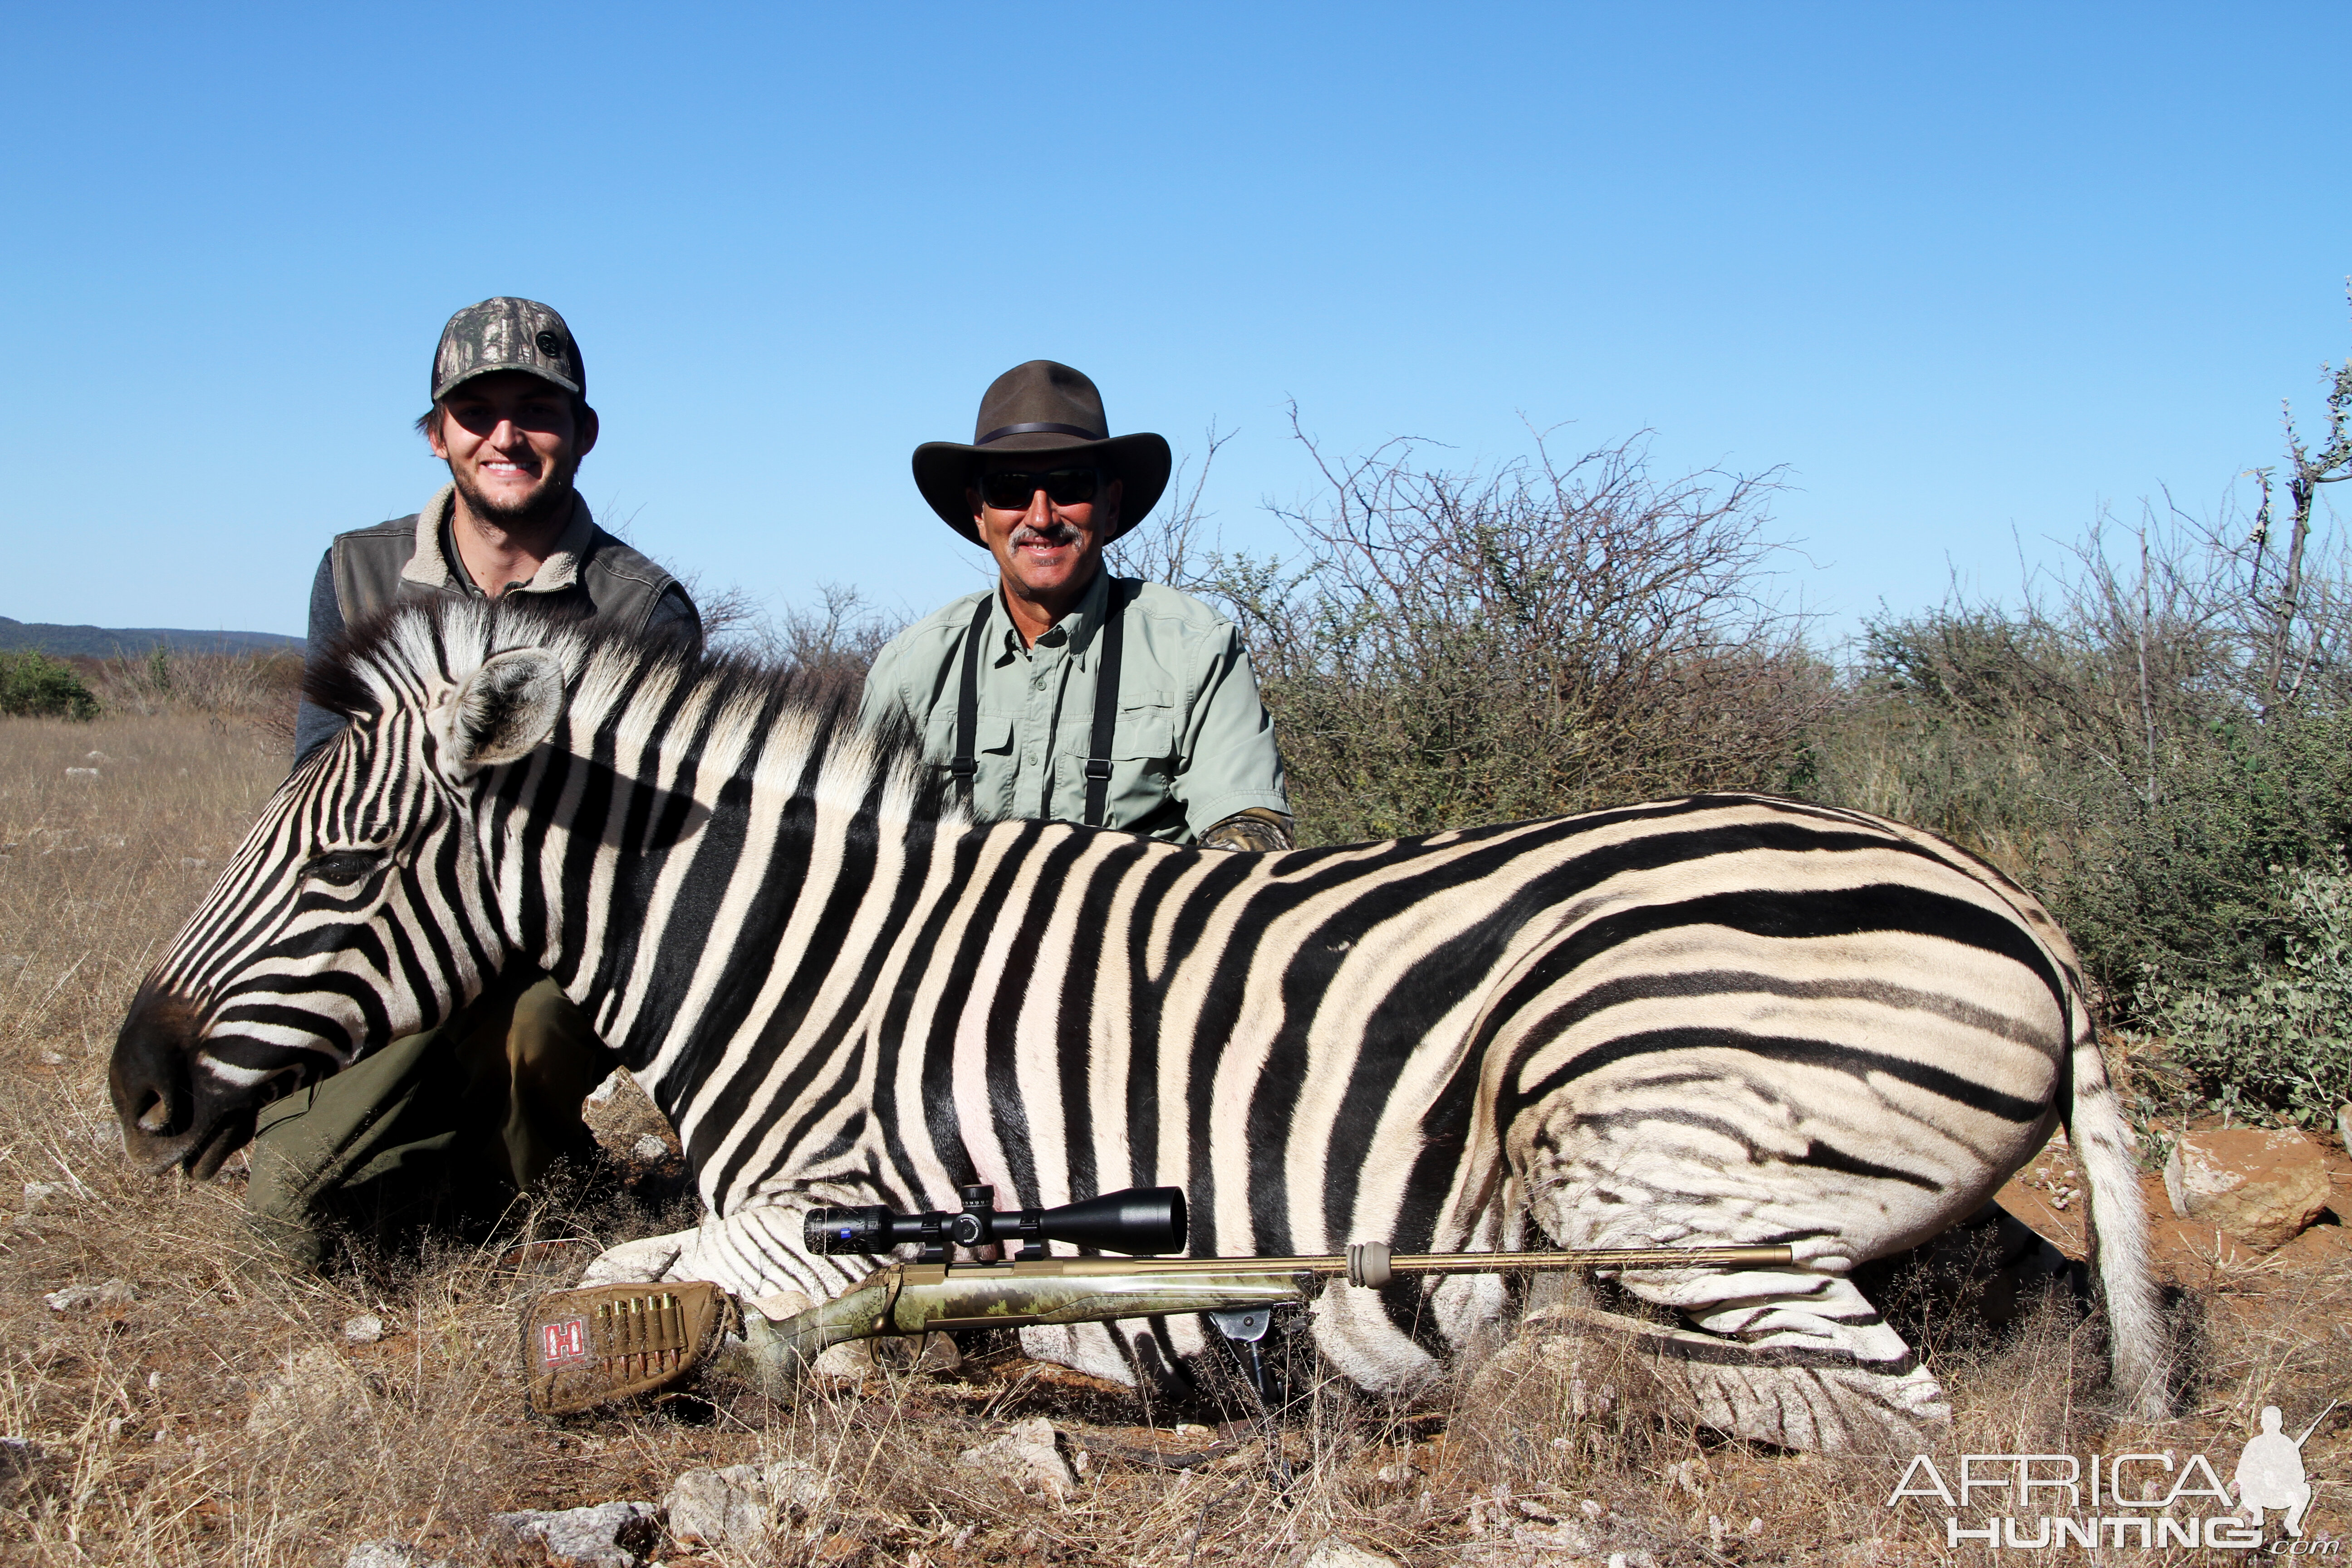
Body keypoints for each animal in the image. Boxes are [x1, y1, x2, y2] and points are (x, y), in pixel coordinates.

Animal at [110, 597, 2164, 1448]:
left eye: (348, 866)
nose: (133, 1084)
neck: (814, 964)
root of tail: (2020, 909)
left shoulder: (851, 1205)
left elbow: (642, 1264)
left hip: (1635, 1141)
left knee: (1868, 1404)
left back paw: (1513, 1373)